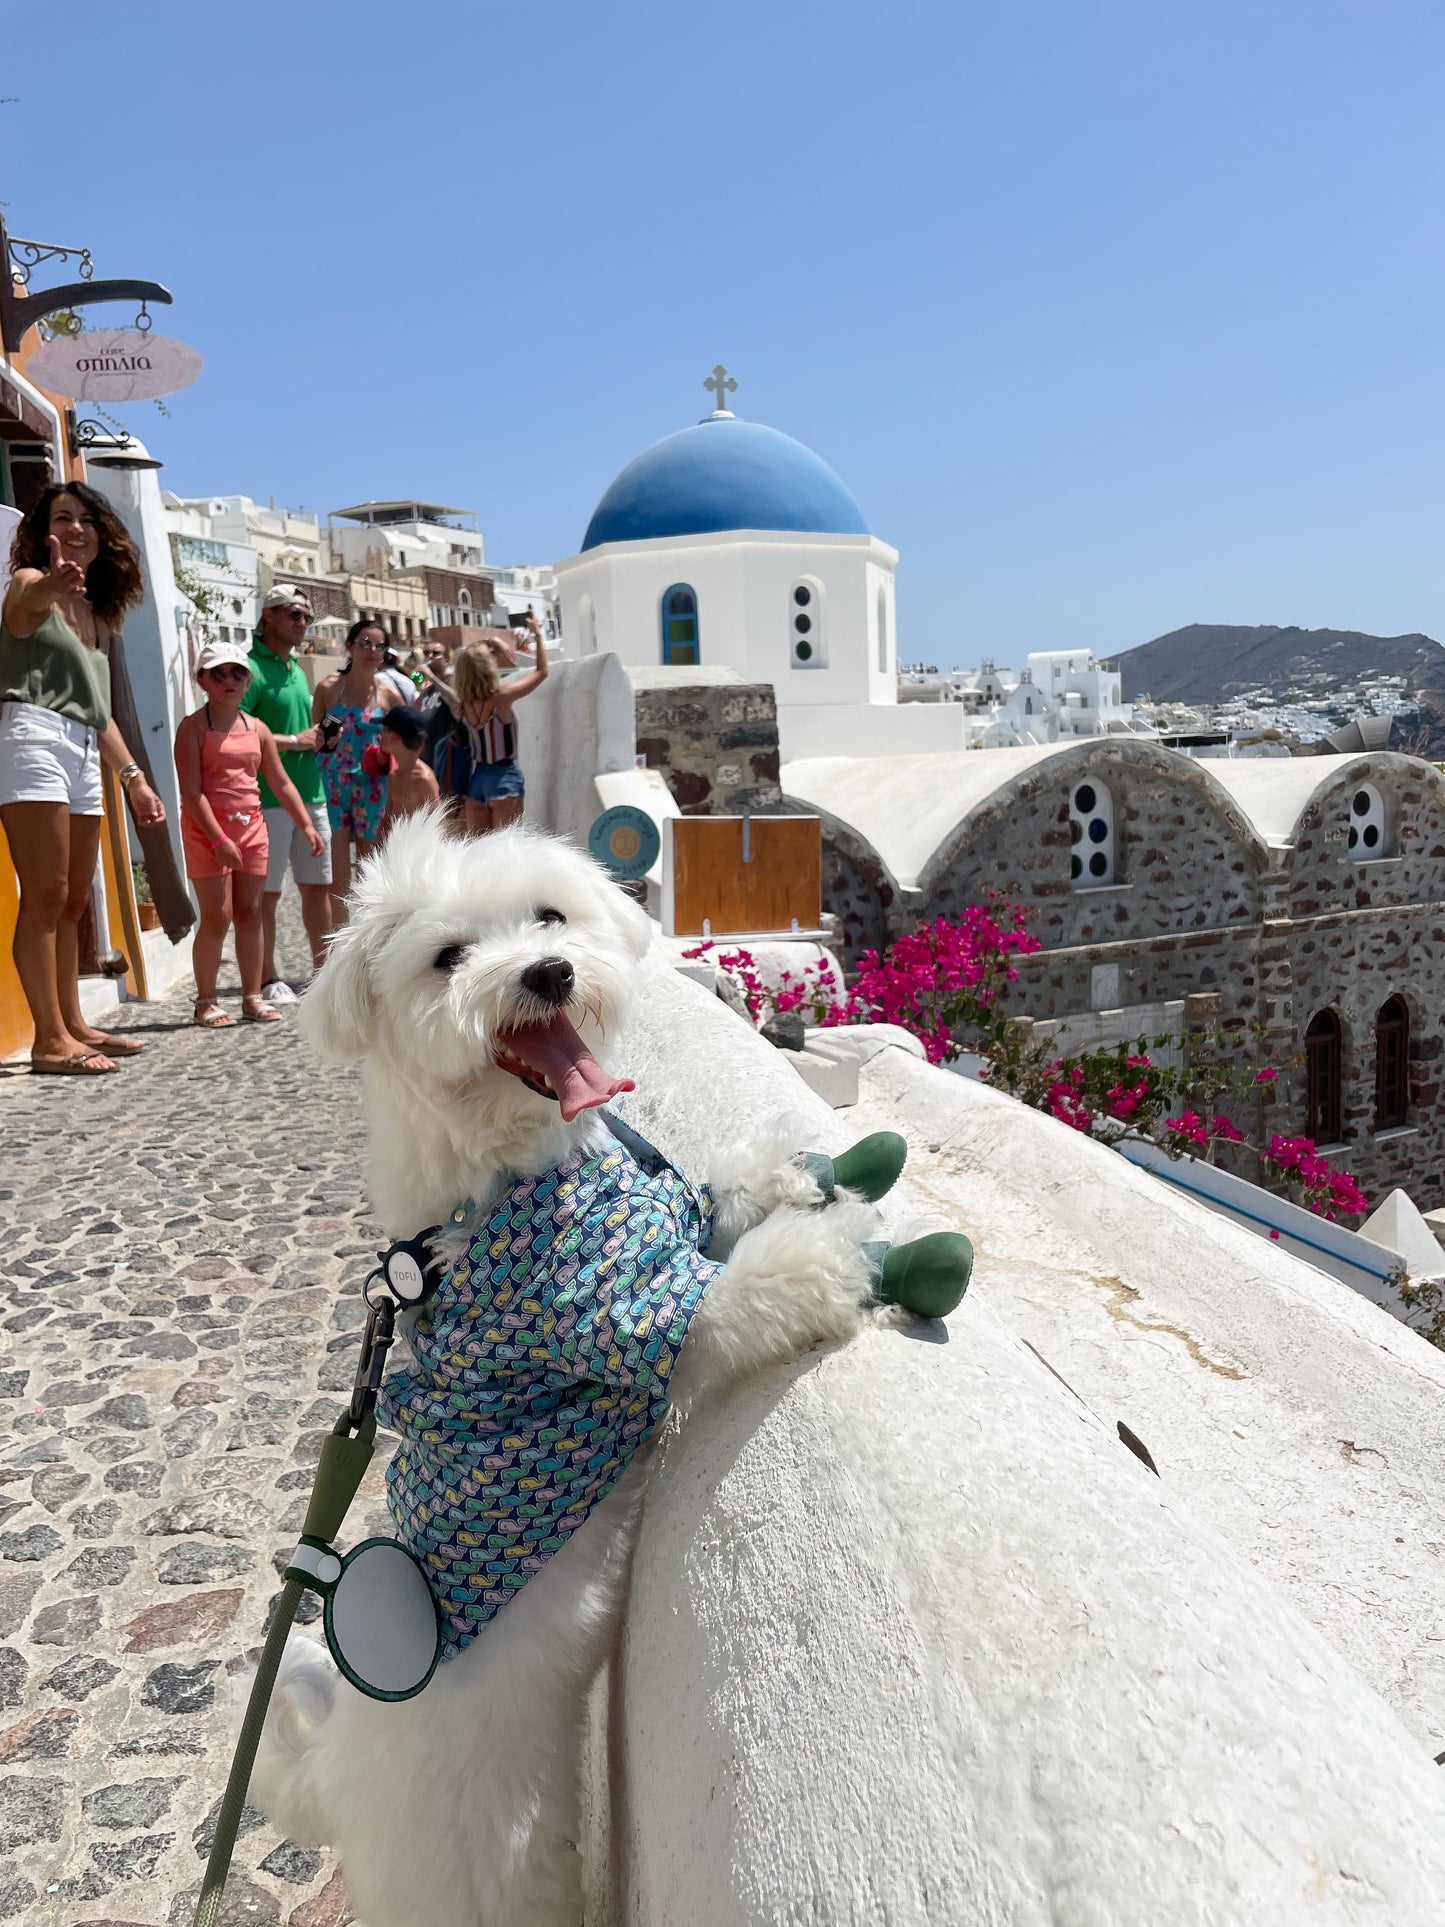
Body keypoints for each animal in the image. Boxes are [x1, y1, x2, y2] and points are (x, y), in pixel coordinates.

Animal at [250, 813, 882, 1927]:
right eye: (447, 958)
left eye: (548, 917)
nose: (546, 972)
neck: (516, 1166)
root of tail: (328, 1774)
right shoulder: (617, 1316)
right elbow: (730, 1295)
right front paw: (821, 1256)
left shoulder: (664, 1215)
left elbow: (713, 1197)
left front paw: (779, 1171)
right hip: (484, 1877)